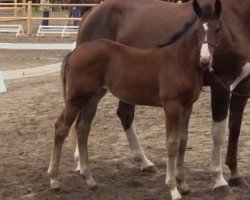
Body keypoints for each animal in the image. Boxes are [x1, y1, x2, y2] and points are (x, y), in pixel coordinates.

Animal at [47, 0, 222, 199]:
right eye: (198, 31)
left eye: (218, 30)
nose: (205, 60)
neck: (178, 61)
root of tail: (75, 52)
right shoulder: (171, 106)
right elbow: (172, 143)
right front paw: (173, 188)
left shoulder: (187, 107)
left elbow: (183, 142)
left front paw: (183, 184)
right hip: (76, 98)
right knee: (61, 127)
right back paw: (54, 180)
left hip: (93, 96)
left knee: (83, 128)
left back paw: (89, 178)